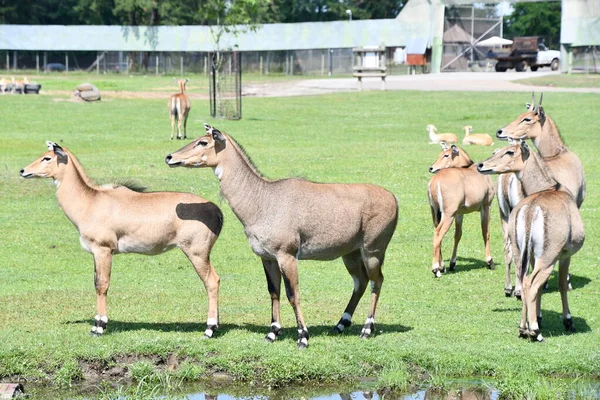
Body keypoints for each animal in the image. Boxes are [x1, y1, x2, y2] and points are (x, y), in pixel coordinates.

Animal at [21, 141, 224, 338]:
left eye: (47, 158)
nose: (23, 170)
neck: (90, 201)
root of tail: (217, 212)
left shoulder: (103, 249)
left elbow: (102, 284)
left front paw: (99, 326)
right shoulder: (96, 253)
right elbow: (96, 282)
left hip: (197, 252)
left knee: (212, 281)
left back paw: (209, 329)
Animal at [165, 124, 398, 346]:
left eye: (203, 142)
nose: (170, 157)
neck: (262, 200)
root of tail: (393, 199)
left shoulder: (287, 255)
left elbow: (293, 294)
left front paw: (303, 337)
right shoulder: (267, 257)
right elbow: (274, 291)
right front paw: (272, 333)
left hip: (373, 250)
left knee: (377, 280)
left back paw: (366, 329)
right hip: (350, 253)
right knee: (361, 281)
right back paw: (340, 324)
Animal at [428, 143, 494, 278]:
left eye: (445, 155)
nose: (431, 168)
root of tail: (434, 181)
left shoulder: (459, 213)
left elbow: (457, 235)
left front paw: (452, 264)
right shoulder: (486, 206)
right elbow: (485, 232)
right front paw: (490, 261)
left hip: (436, 213)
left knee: (437, 233)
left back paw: (442, 267)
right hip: (448, 214)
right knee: (438, 233)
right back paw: (436, 269)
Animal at [476, 141, 584, 340]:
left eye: (509, 152)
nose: (481, 165)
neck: (549, 186)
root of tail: (532, 210)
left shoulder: (533, 256)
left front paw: (539, 316)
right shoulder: (565, 255)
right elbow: (561, 284)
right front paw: (568, 321)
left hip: (520, 251)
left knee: (524, 280)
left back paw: (523, 327)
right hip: (549, 257)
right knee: (532, 283)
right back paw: (534, 330)